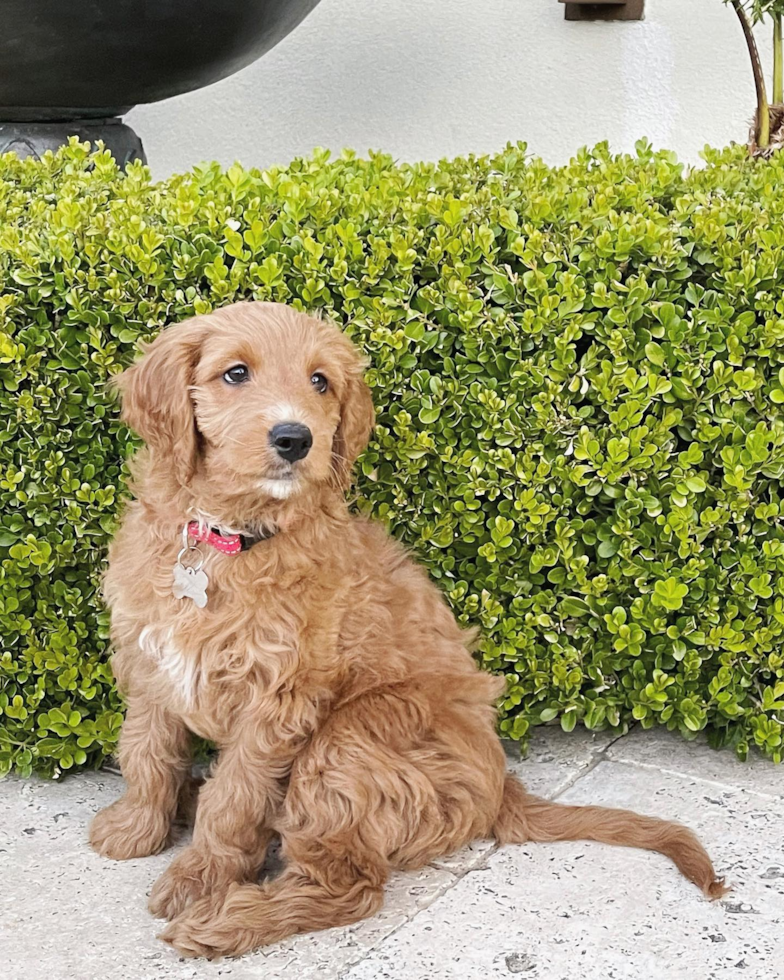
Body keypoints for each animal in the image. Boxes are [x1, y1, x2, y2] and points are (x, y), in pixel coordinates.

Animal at [92, 300, 728, 956]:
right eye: (235, 373)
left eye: (320, 382)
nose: (295, 439)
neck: (227, 537)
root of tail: (501, 785)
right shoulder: (151, 661)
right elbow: (148, 750)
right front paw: (136, 828)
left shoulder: (278, 698)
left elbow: (236, 797)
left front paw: (197, 878)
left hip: (350, 741)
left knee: (352, 886)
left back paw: (224, 919)